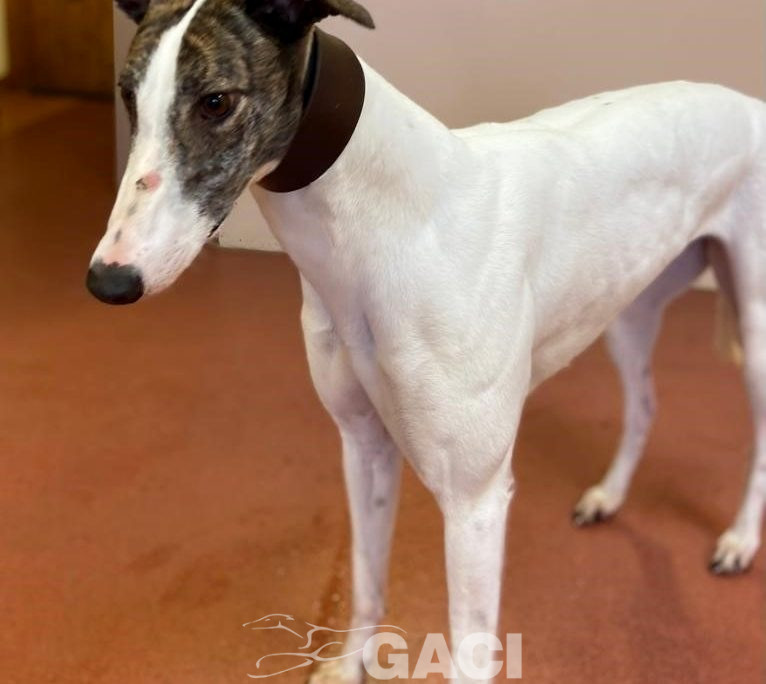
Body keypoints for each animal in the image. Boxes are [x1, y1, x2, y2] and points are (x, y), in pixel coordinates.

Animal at [89, 1, 766, 681]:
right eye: (127, 94)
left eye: (216, 101)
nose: (108, 280)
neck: (390, 227)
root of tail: (747, 102)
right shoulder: (363, 446)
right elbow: (366, 577)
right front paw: (348, 664)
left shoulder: (475, 502)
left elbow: (469, 654)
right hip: (627, 306)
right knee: (646, 404)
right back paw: (610, 495)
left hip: (755, 333)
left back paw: (738, 540)